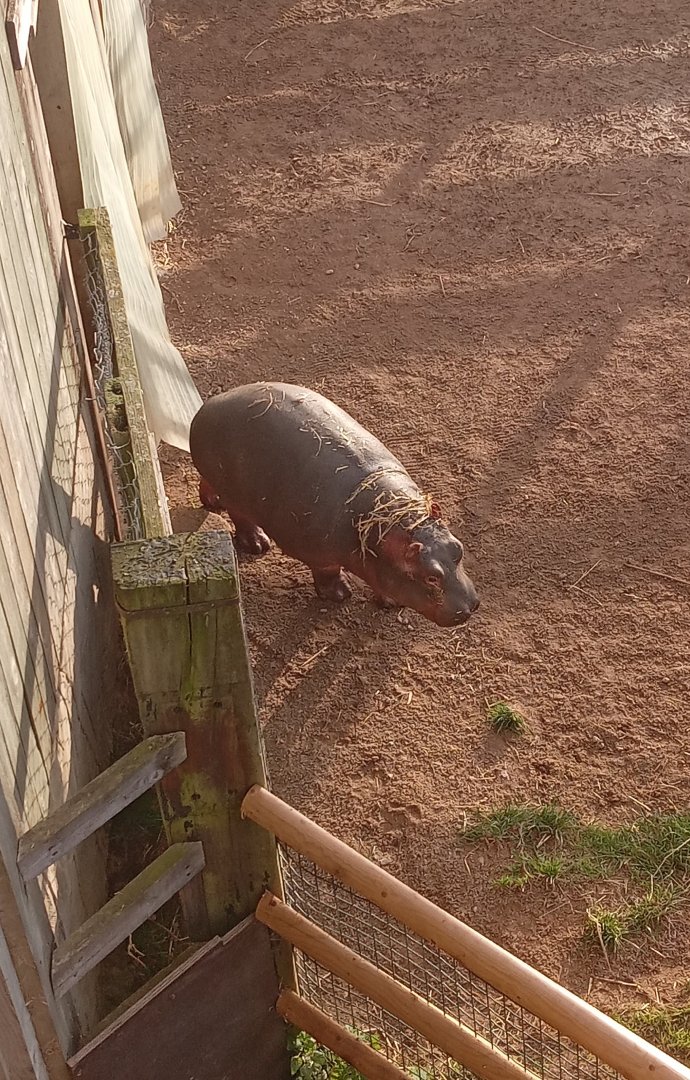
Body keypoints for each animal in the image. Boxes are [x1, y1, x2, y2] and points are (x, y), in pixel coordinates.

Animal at [189, 383, 479, 627]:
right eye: (431, 576)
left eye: (459, 549)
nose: (470, 606)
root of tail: (210, 404)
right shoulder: (316, 552)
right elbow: (327, 571)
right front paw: (341, 594)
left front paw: (391, 600)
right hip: (236, 493)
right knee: (240, 515)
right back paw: (258, 545)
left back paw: (213, 503)